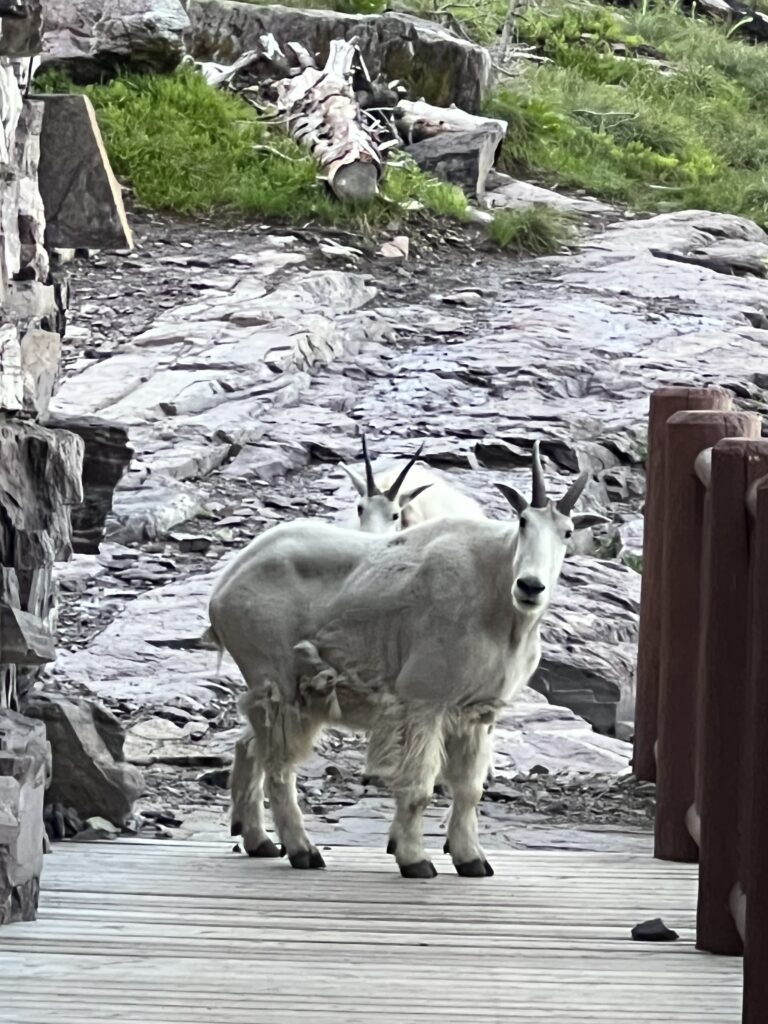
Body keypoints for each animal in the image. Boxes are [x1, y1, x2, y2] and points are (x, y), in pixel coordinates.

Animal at [207, 442, 610, 880]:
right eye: (522, 522)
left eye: (567, 532)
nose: (531, 586)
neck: (498, 599)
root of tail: (225, 585)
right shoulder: (424, 701)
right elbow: (419, 787)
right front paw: (415, 859)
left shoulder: (477, 712)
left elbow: (470, 790)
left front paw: (471, 859)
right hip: (278, 679)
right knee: (279, 768)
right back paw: (303, 850)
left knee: (249, 746)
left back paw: (256, 839)